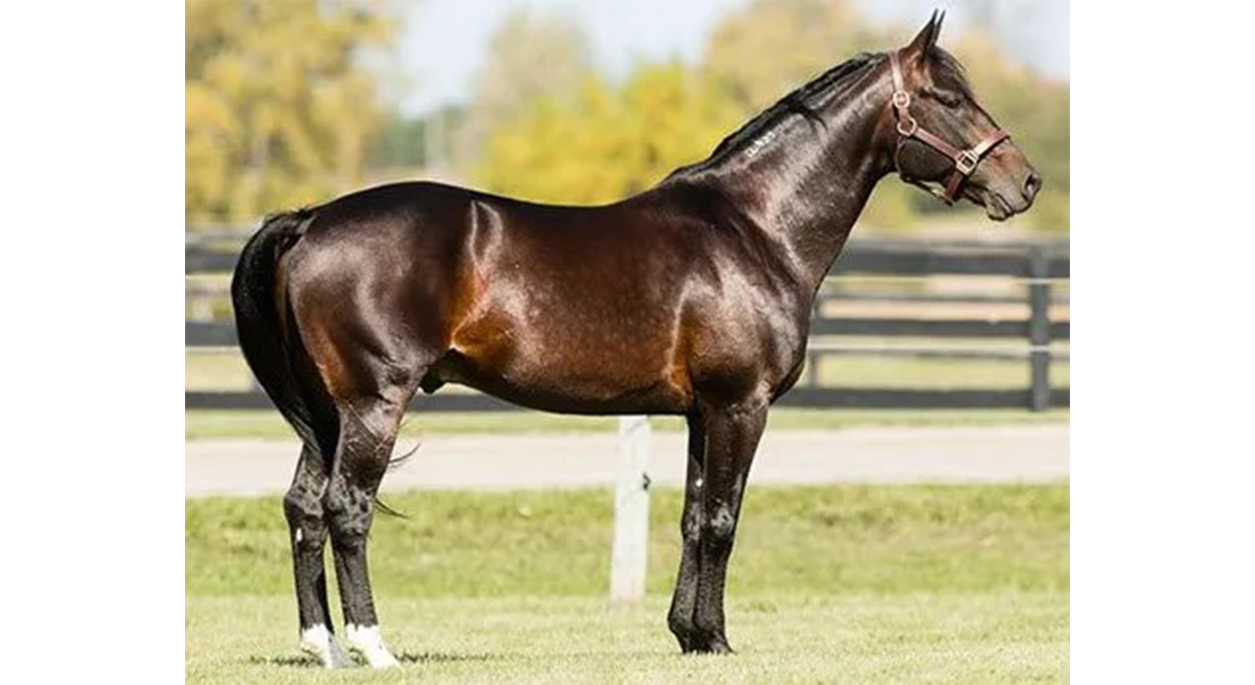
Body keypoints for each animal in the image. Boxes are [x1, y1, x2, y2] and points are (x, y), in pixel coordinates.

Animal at [231, 12, 1039, 668]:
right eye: (948, 100)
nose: (1024, 182)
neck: (753, 227)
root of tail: (311, 219)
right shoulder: (740, 406)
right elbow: (722, 520)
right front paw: (716, 639)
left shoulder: (699, 411)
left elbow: (690, 517)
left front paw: (689, 634)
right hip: (373, 404)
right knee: (347, 509)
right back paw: (373, 646)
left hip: (327, 413)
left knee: (304, 508)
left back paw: (323, 646)